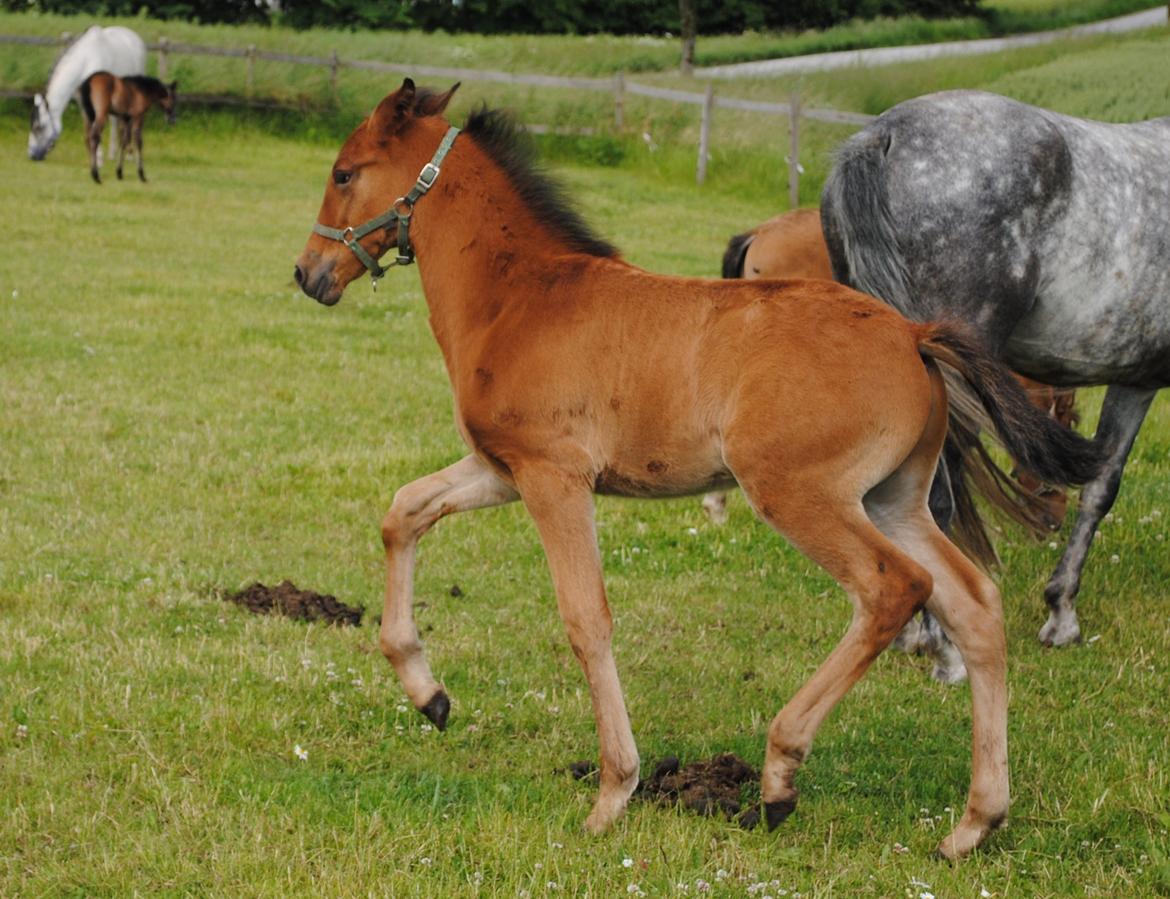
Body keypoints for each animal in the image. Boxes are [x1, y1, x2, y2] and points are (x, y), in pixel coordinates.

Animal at [28, 24, 146, 161]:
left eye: (39, 127)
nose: (32, 155)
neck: (86, 62)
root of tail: (134, 36)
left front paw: (98, 158)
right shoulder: (83, 102)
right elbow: (88, 130)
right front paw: (93, 157)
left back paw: (130, 155)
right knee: (115, 120)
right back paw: (113, 153)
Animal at [297, 82, 1099, 856]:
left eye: (344, 174)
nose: (308, 274)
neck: (519, 295)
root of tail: (914, 333)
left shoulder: (554, 476)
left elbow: (586, 617)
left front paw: (614, 792)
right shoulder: (502, 468)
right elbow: (404, 510)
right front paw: (428, 694)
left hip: (798, 492)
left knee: (894, 588)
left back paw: (779, 775)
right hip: (894, 498)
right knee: (974, 602)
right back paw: (974, 823)